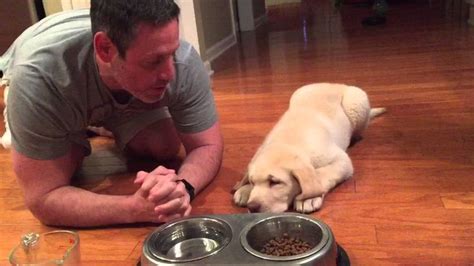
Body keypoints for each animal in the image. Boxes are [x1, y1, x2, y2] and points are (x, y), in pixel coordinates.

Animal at [233, 83, 386, 214]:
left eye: (275, 182)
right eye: (253, 182)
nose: (251, 207)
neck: (287, 142)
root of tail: (332, 83)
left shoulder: (341, 160)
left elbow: (321, 174)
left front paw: (308, 198)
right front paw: (244, 189)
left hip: (356, 102)